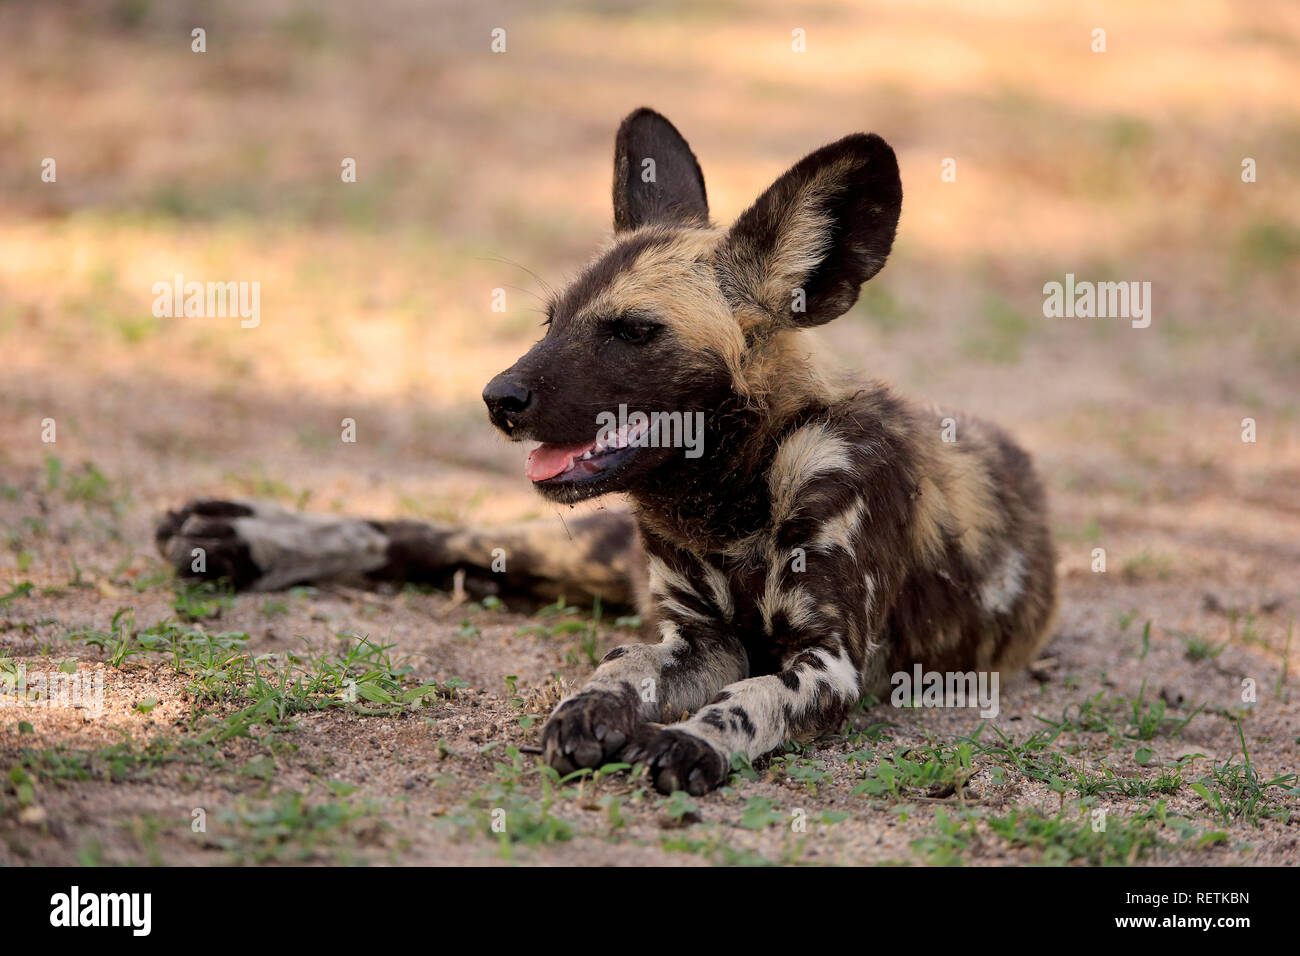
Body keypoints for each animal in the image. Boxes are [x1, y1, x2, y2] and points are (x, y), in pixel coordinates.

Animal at [159, 108, 1055, 801]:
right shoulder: (694, 637)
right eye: (550, 319)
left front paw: (692, 740)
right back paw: (243, 537)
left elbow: (750, 699)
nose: (498, 397)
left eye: (632, 331)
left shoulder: (829, 662)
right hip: (577, 548)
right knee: (421, 533)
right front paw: (593, 709)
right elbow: (623, 665)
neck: (736, 493)